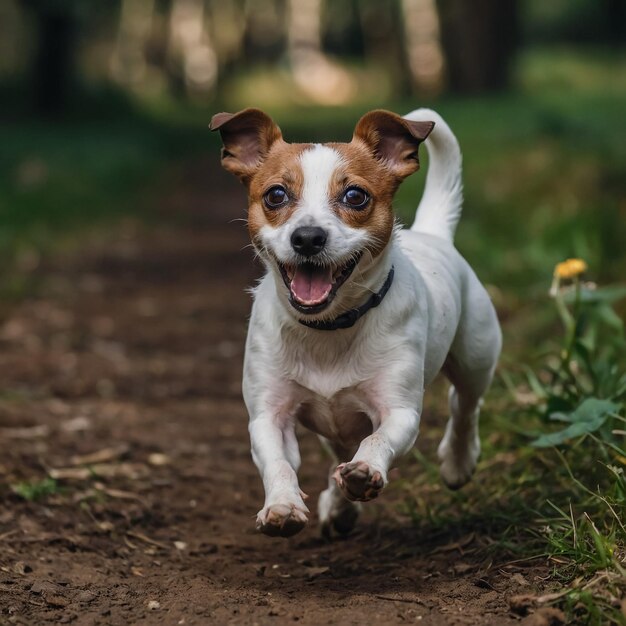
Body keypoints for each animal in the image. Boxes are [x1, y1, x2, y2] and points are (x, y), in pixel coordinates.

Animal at [210, 107, 502, 536]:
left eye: (355, 196)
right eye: (276, 195)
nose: (308, 237)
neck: (330, 328)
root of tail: (433, 234)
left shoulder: (399, 411)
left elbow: (378, 441)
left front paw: (366, 470)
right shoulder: (269, 416)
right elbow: (278, 462)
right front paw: (282, 506)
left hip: (475, 356)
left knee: (464, 404)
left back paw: (457, 461)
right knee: (338, 456)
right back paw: (339, 506)